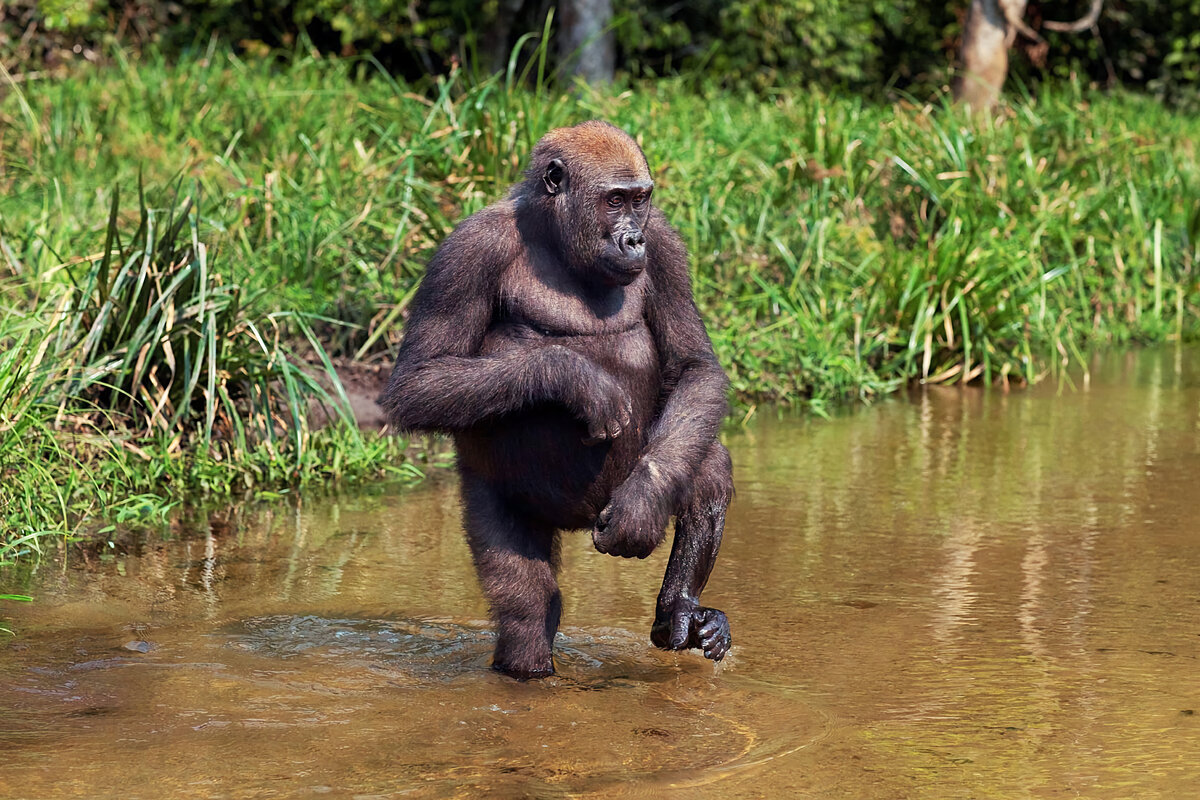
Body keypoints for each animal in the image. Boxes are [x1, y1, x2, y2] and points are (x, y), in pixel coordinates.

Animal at [384, 120, 734, 681]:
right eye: (614, 201)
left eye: (640, 200)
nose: (633, 238)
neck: (555, 233)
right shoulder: (468, 249)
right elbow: (419, 381)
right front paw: (573, 377)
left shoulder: (665, 243)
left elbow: (693, 368)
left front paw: (644, 502)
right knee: (528, 610)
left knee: (701, 459)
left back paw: (679, 609)